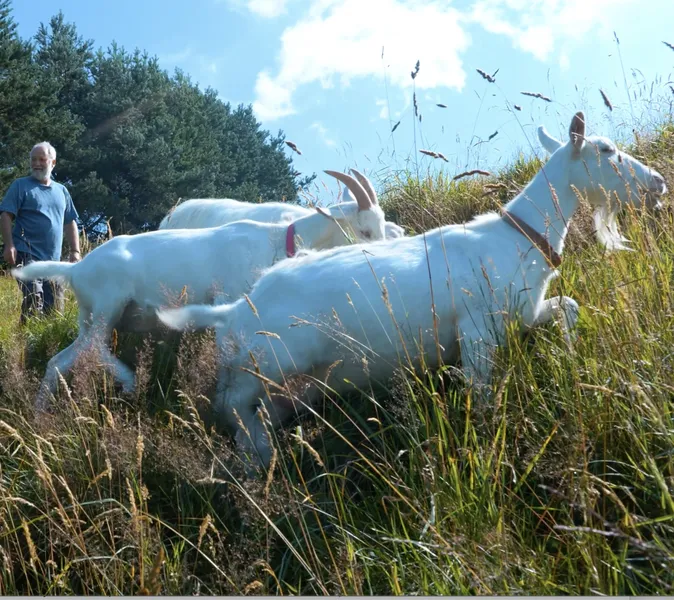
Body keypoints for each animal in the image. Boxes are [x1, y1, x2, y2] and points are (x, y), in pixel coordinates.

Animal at [11, 169, 386, 409]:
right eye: (365, 230)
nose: (378, 258)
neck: (278, 240)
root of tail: (75, 268)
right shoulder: (229, 302)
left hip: (92, 315)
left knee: (61, 360)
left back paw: (40, 414)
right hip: (108, 306)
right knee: (92, 347)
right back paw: (130, 381)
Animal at [157, 112, 668, 470]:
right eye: (606, 149)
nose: (658, 181)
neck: (517, 238)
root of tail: (233, 312)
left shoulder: (523, 312)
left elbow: (569, 307)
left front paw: (570, 351)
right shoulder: (477, 331)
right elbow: (481, 391)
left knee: (250, 411)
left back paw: (260, 455)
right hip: (270, 361)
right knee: (232, 404)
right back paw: (257, 458)